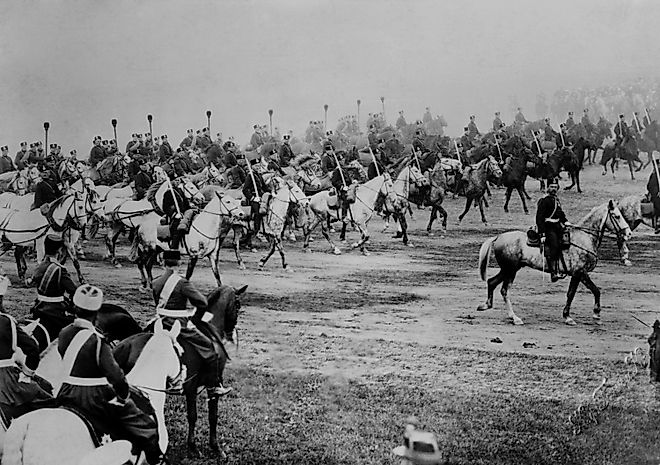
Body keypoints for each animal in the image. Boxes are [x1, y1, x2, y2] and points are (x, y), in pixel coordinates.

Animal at [99, 282, 249, 454]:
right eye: (238, 305)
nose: (231, 331)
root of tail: (124, 346)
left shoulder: (192, 387)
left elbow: (197, 416)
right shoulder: (207, 384)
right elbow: (207, 416)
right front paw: (210, 446)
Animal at [476, 199, 632, 322]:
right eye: (617, 216)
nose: (629, 233)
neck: (584, 237)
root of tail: (498, 237)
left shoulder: (579, 274)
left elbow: (586, 291)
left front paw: (591, 313)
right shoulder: (579, 272)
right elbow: (578, 292)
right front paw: (572, 316)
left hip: (508, 269)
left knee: (492, 282)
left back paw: (487, 306)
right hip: (510, 270)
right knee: (504, 290)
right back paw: (514, 317)